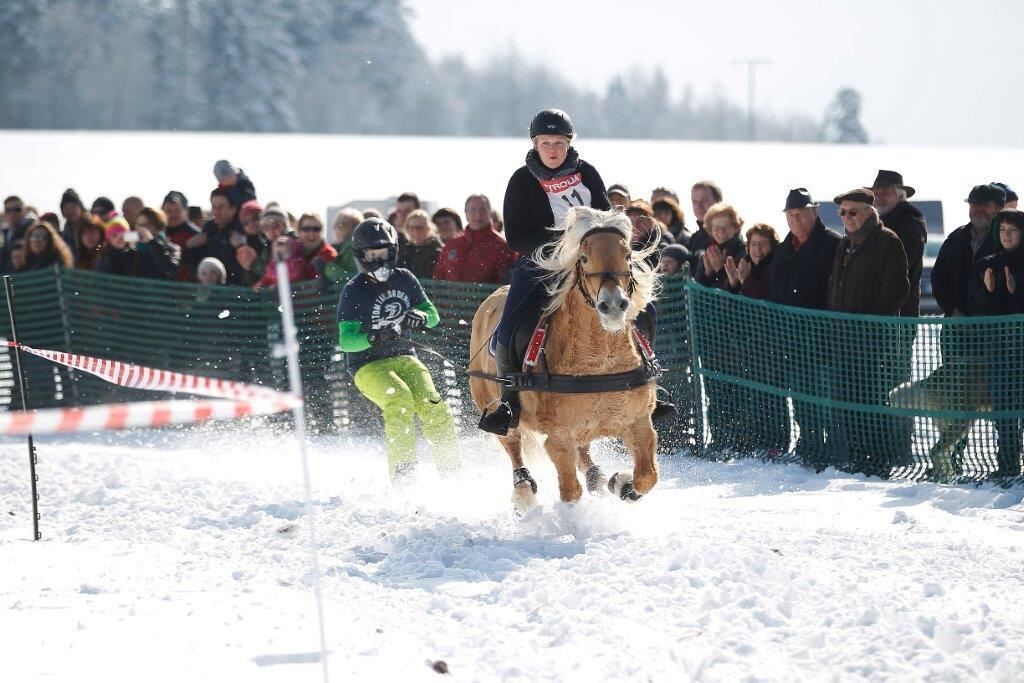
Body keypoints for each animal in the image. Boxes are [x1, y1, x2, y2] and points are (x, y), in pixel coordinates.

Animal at [468, 205, 659, 509]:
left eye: (628, 255)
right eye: (584, 257)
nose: (613, 305)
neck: (600, 364)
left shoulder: (639, 423)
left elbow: (647, 477)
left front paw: (623, 483)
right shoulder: (559, 438)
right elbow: (570, 492)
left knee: (585, 454)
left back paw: (599, 477)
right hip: (489, 401)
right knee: (512, 443)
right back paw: (523, 490)